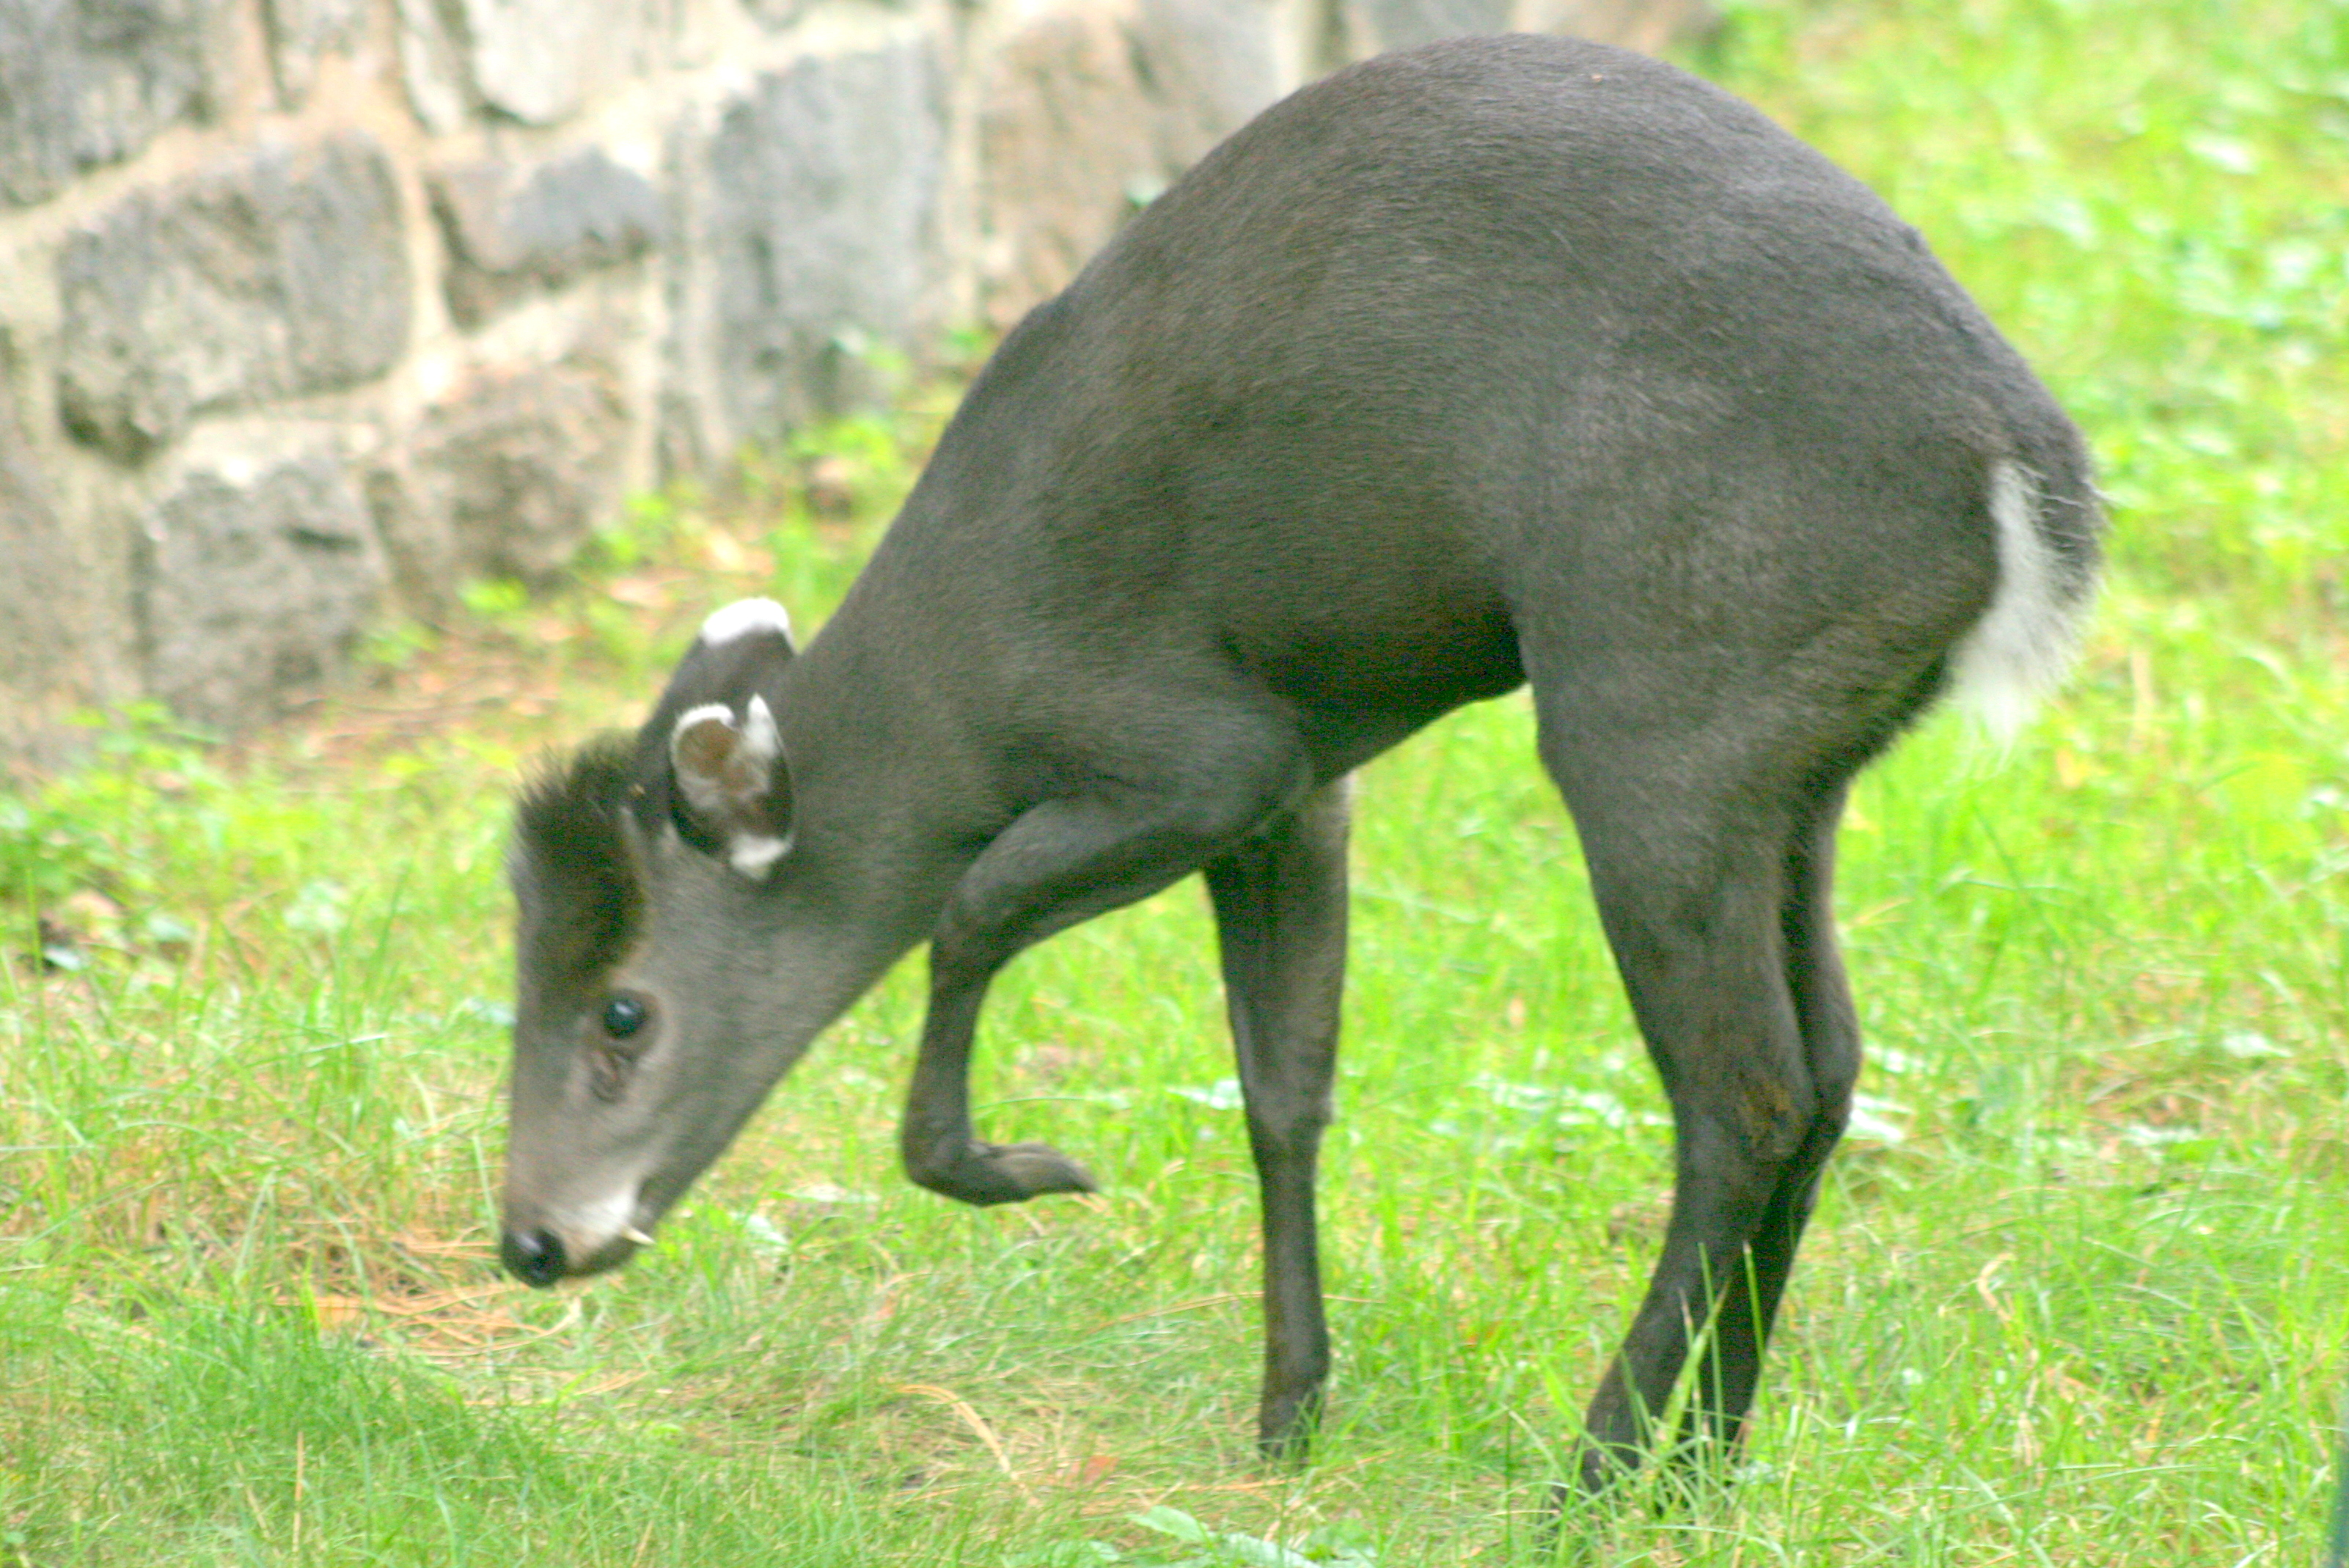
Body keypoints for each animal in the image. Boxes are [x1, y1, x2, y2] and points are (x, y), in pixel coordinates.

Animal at [496, 33, 2100, 1495]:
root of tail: (2024, 478)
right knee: (1828, 1069)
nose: (529, 1238)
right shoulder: (1297, 795)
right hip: (1790, 763)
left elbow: (964, 913)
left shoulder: (1207, 754)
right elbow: (1283, 1085)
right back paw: (1702, 1457)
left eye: (624, 1011)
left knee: (1743, 1095)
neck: (952, 696)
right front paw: (1288, 1411)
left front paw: (1020, 1169)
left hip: (1655, 722)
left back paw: (1599, 1464)